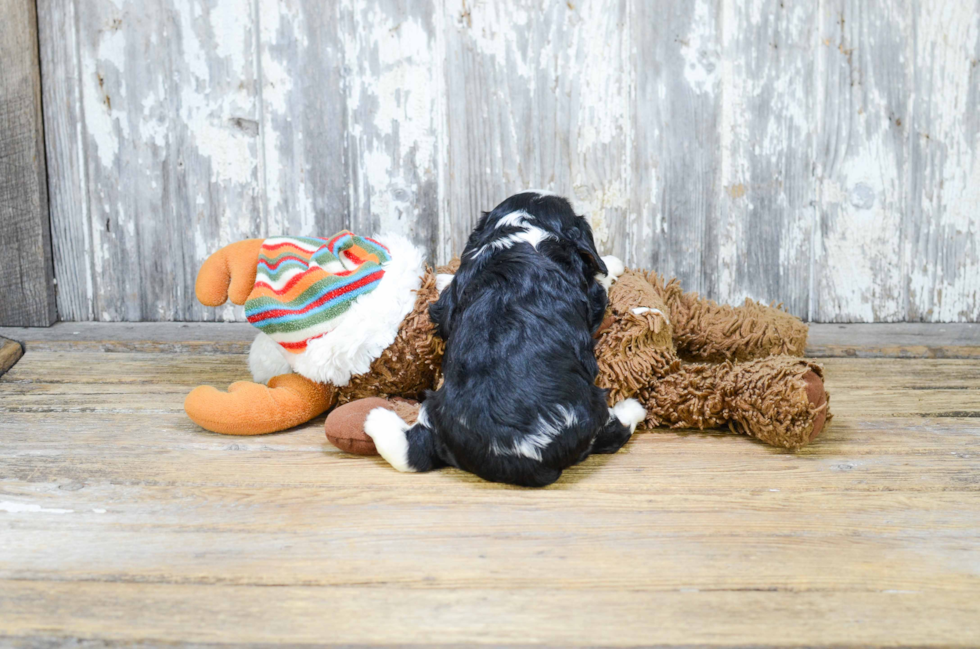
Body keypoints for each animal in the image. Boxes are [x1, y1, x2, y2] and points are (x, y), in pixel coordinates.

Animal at [364, 192, 648, 486]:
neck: (524, 229)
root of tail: (517, 453)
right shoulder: (591, 294)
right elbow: (599, 281)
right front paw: (612, 264)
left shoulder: (450, 300)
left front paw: (442, 278)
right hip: (592, 409)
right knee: (612, 432)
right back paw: (633, 408)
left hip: (435, 405)